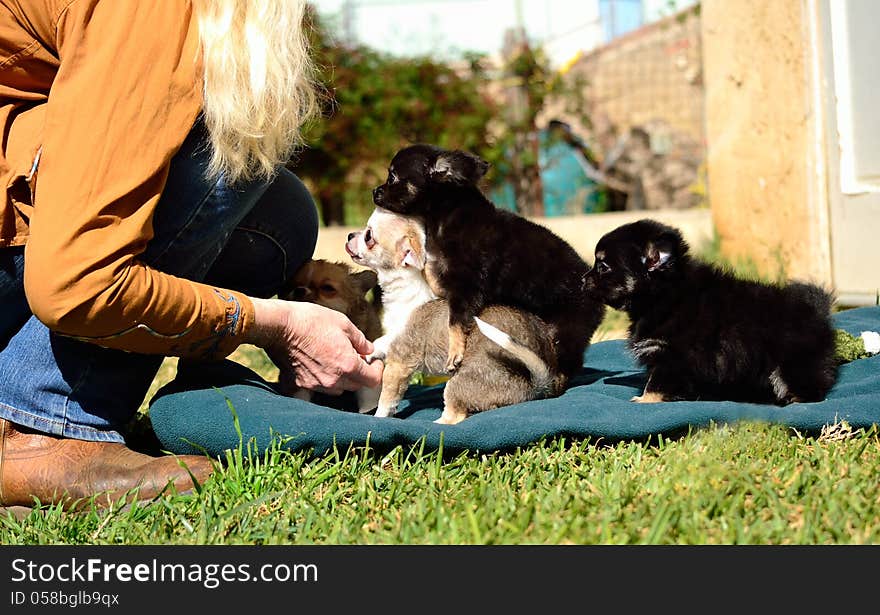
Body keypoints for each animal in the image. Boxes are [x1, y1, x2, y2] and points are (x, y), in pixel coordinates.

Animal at [344, 209, 564, 426]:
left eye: (369, 236)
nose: (349, 235)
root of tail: (534, 387)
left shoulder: (400, 361)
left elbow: (387, 398)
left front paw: (379, 417)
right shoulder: (394, 336)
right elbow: (380, 343)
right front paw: (368, 353)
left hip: (458, 383)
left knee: (455, 416)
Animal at [372, 146, 604, 384]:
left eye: (392, 177)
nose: (374, 192)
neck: (444, 217)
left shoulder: (467, 287)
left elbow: (455, 321)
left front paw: (455, 353)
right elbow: (433, 274)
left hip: (567, 331)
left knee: (570, 362)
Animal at [584, 219, 840, 406]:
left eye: (603, 267)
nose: (583, 279)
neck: (665, 296)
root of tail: (817, 311)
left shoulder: (671, 355)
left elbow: (656, 383)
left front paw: (644, 400)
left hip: (791, 365)